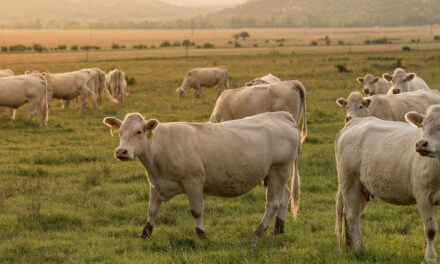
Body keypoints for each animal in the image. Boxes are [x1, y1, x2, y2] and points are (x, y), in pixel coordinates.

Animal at [103, 111, 302, 239]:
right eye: (120, 132)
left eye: (138, 131)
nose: (121, 151)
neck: (161, 147)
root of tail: (281, 115)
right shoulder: (156, 183)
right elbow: (152, 210)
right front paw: (145, 233)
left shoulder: (194, 181)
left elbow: (196, 210)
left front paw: (201, 233)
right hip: (276, 174)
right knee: (284, 197)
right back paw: (278, 228)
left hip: (279, 170)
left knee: (272, 203)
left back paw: (259, 231)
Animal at [336, 105, 440, 262]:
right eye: (423, 126)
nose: (421, 144)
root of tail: (355, 122)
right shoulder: (423, 196)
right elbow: (430, 229)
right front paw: (430, 258)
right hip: (349, 180)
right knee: (352, 215)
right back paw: (361, 249)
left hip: (362, 188)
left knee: (351, 214)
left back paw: (351, 248)